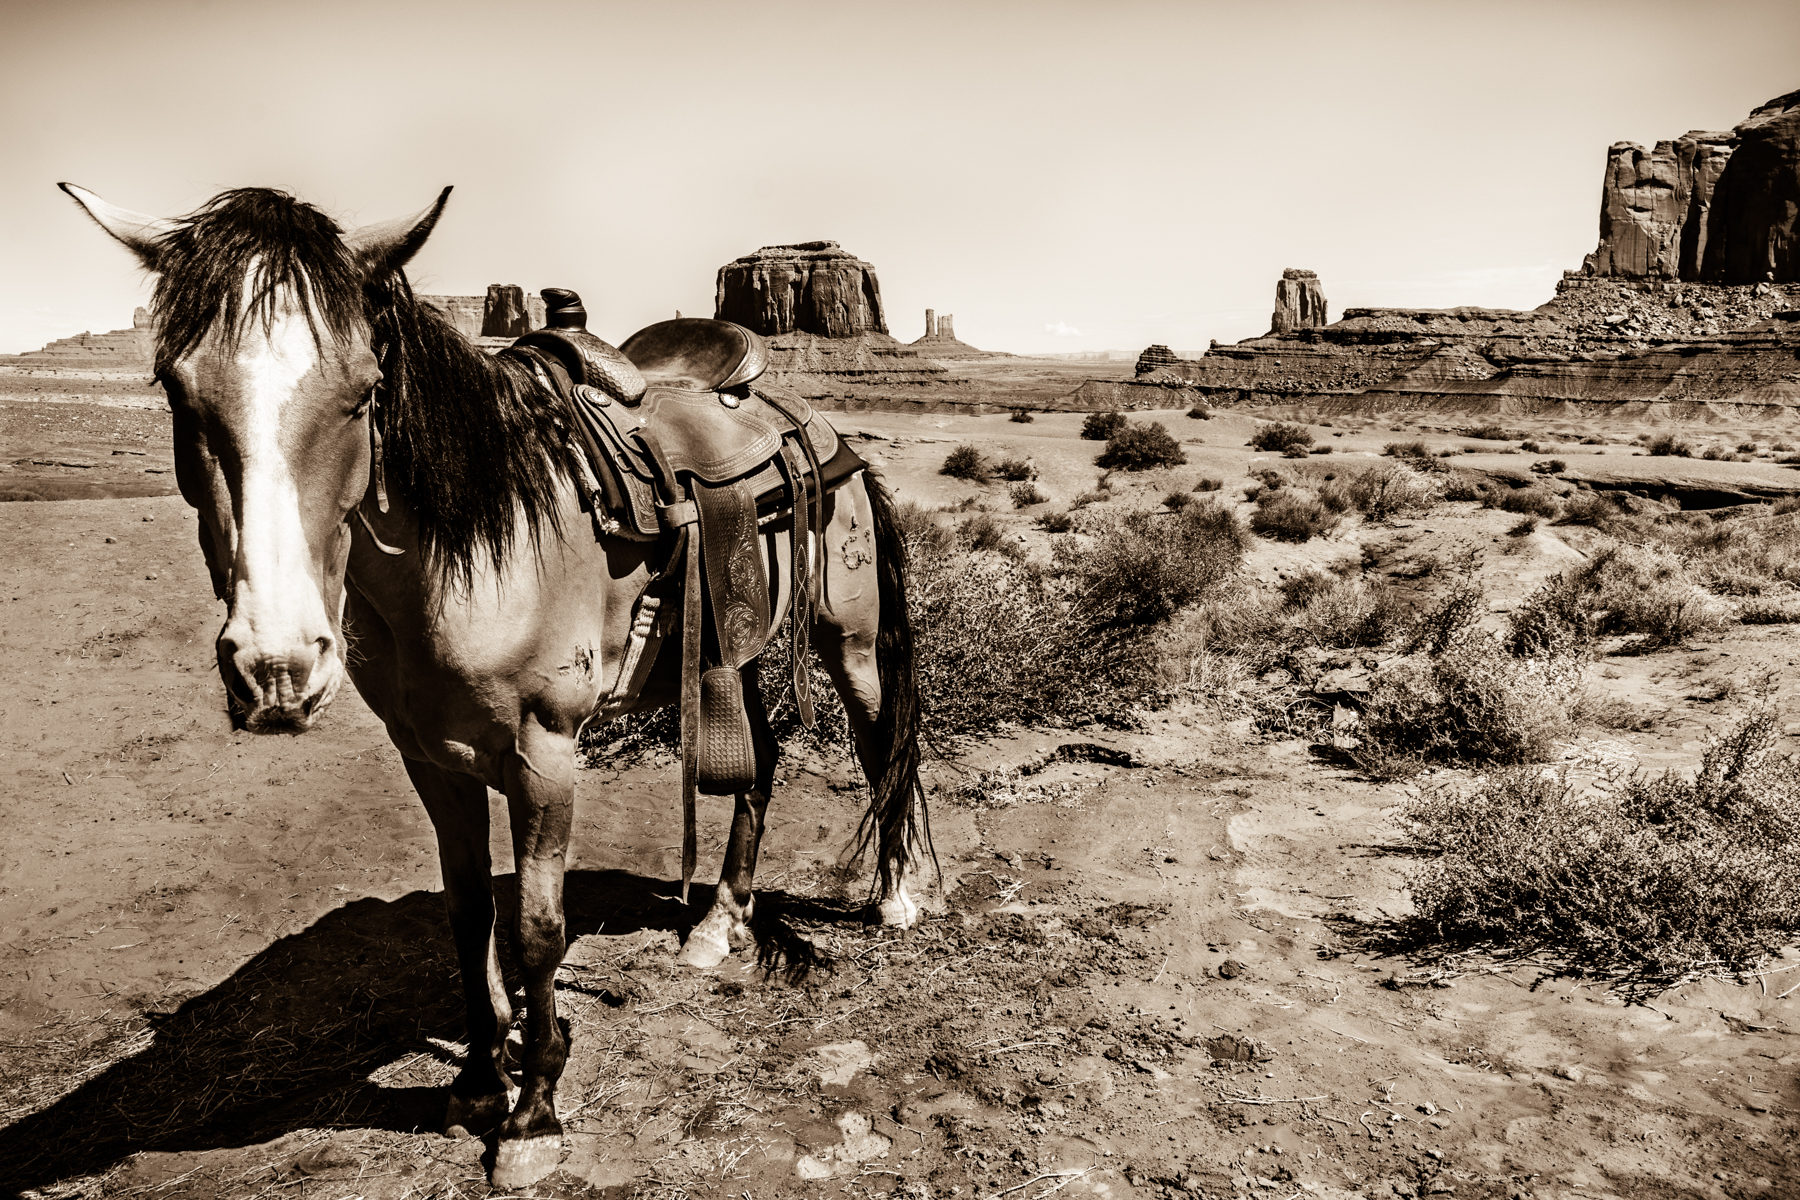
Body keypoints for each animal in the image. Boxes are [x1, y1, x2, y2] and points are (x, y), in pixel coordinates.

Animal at [61, 183, 930, 1187]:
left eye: (365, 390)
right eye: (174, 385)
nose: (277, 667)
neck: (469, 553)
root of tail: (817, 425)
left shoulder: (544, 752)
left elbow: (538, 927)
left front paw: (533, 1112)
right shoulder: (431, 757)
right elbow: (470, 911)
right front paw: (479, 1079)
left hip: (848, 635)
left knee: (879, 740)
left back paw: (897, 896)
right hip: (726, 649)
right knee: (760, 759)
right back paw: (719, 923)